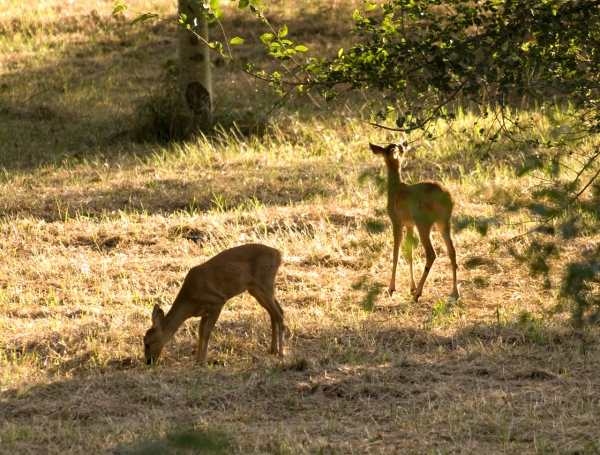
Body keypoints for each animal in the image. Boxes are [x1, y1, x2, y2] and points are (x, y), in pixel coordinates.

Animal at [145, 244, 286, 366]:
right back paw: (273, 350)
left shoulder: (218, 302)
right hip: (256, 289)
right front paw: (197, 361)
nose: (148, 362)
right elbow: (201, 331)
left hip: (264, 284)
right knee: (274, 312)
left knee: (279, 313)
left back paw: (281, 353)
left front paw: (203, 361)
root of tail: (278, 255)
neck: (190, 301)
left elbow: (207, 331)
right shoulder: (204, 311)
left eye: (148, 343)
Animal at [370, 141, 460, 302]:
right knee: (452, 251)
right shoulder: (409, 225)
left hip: (423, 222)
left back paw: (418, 294)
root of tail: (446, 196)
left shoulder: (396, 221)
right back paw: (454, 293)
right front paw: (410, 287)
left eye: (400, 147)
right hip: (444, 221)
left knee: (431, 253)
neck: (394, 188)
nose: (405, 142)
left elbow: (396, 253)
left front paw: (391, 289)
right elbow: (409, 254)